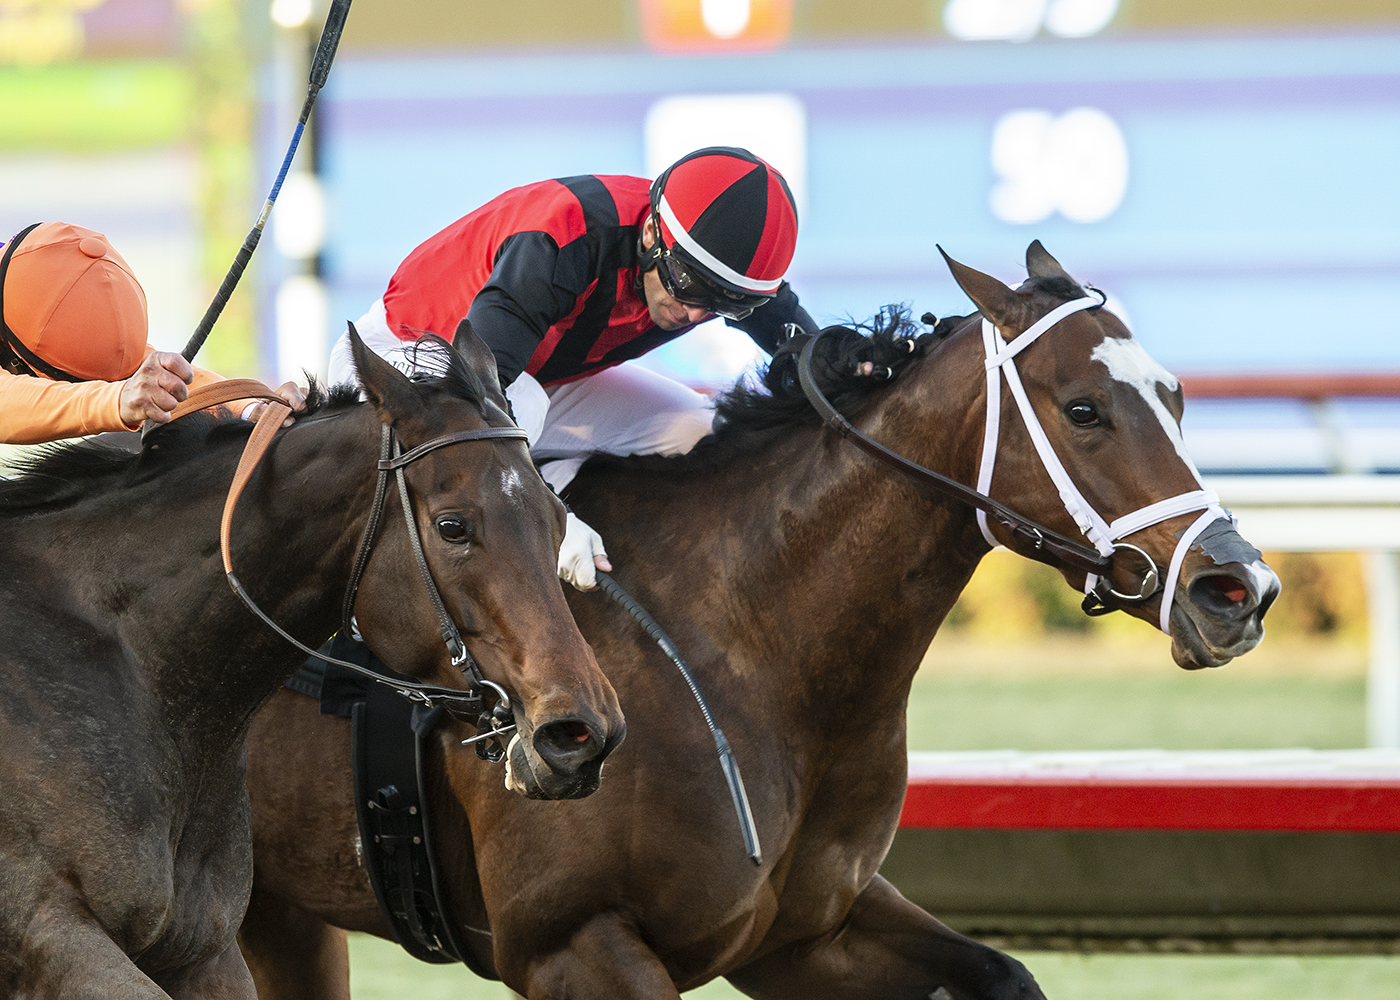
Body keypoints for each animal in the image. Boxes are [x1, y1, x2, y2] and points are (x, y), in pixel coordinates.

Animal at [238, 243, 1282, 997]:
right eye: (1084, 408)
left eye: (1176, 396)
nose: (1238, 589)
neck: (753, 644)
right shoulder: (574, 945)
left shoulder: (806, 932)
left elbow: (1002, 974)